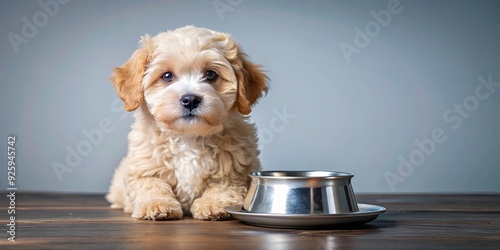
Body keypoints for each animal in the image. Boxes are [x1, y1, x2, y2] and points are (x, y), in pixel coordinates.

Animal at [105, 25, 268, 221]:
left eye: (211, 74)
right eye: (167, 76)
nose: (190, 99)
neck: (188, 137)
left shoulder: (235, 172)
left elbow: (224, 186)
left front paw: (213, 204)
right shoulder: (143, 168)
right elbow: (151, 184)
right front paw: (157, 204)